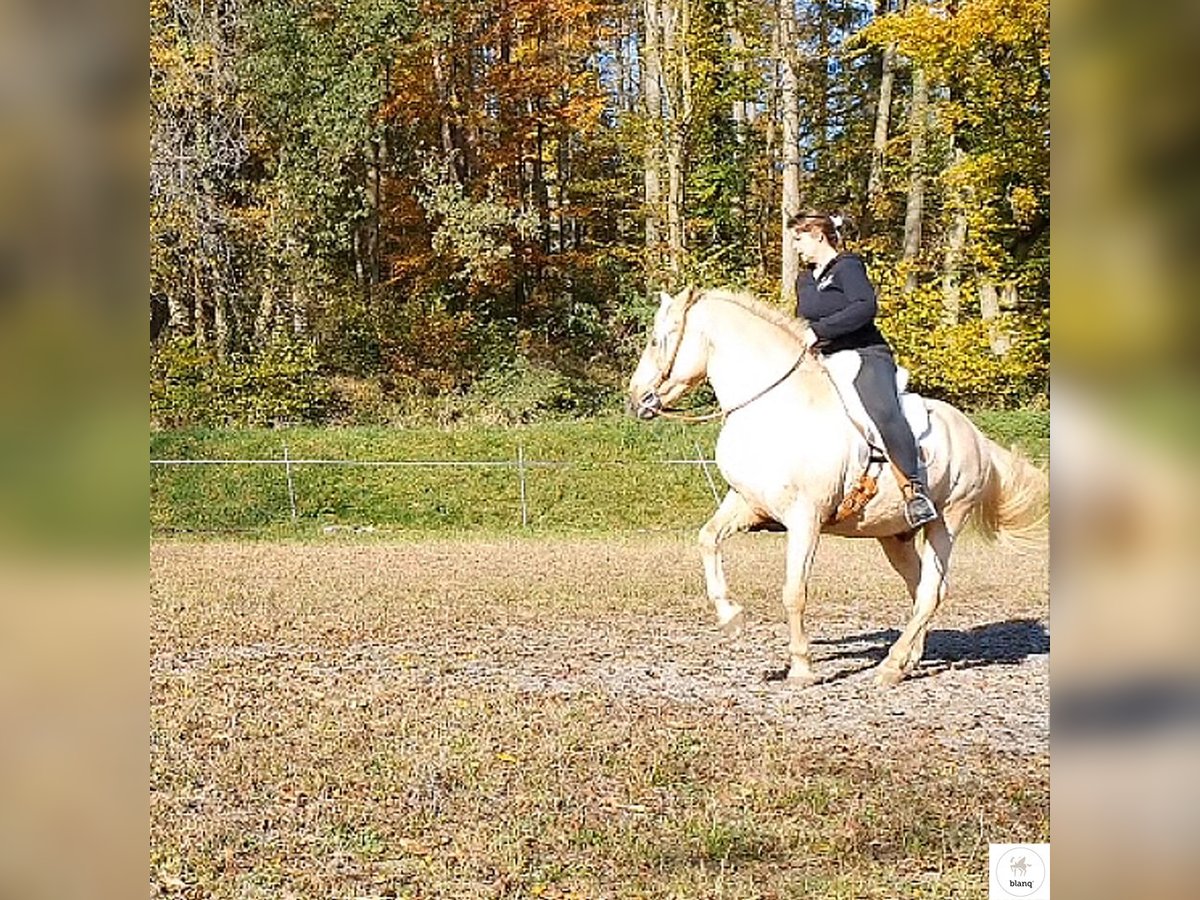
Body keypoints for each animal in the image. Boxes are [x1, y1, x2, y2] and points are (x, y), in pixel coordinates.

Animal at [624, 285, 1046, 686]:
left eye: (657, 340)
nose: (635, 397)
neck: (773, 408)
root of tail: (977, 437)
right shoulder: (746, 503)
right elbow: (707, 539)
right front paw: (731, 618)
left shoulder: (805, 518)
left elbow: (794, 591)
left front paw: (800, 668)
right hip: (895, 535)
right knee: (923, 587)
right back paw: (908, 660)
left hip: (946, 521)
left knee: (929, 592)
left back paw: (890, 667)